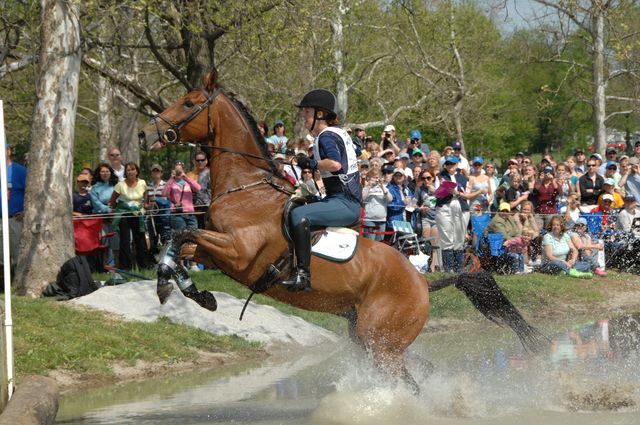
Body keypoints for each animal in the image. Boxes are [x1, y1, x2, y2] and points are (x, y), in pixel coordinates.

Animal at [139, 69, 540, 390]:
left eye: (189, 102)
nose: (145, 134)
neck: (245, 188)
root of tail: (423, 282)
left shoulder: (238, 252)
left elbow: (181, 236)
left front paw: (176, 288)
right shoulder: (215, 251)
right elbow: (178, 244)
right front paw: (183, 288)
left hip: (380, 343)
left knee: (409, 384)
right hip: (371, 339)